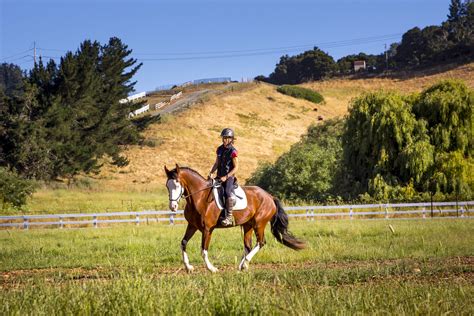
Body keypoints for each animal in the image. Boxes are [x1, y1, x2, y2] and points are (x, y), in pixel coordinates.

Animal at [164, 164, 304, 272]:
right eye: (167, 186)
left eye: (177, 185)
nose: (173, 206)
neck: (199, 198)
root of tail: (270, 196)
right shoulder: (192, 226)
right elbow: (183, 243)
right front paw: (188, 267)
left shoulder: (207, 229)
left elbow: (203, 250)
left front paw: (212, 269)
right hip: (248, 225)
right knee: (248, 246)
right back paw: (242, 266)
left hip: (259, 224)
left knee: (261, 242)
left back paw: (245, 263)